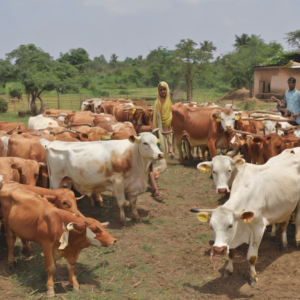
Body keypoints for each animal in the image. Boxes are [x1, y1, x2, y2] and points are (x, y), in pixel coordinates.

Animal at [191, 150, 300, 286]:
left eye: (230, 225)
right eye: (211, 226)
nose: (218, 249)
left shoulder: (258, 228)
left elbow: (252, 257)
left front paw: (252, 277)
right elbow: (232, 253)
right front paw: (228, 270)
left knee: (296, 219)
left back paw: (295, 240)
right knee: (284, 222)